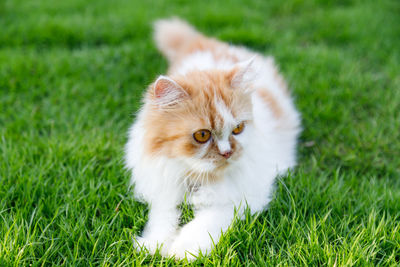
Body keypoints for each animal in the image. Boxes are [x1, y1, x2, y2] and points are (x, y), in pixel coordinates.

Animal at [125, 17, 300, 260]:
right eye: (202, 135)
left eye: (238, 129)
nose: (227, 153)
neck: (196, 176)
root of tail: (202, 42)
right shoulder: (164, 192)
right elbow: (162, 221)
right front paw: (154, 245)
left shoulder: (240, 199)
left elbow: (203, 223)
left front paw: (181, 251)